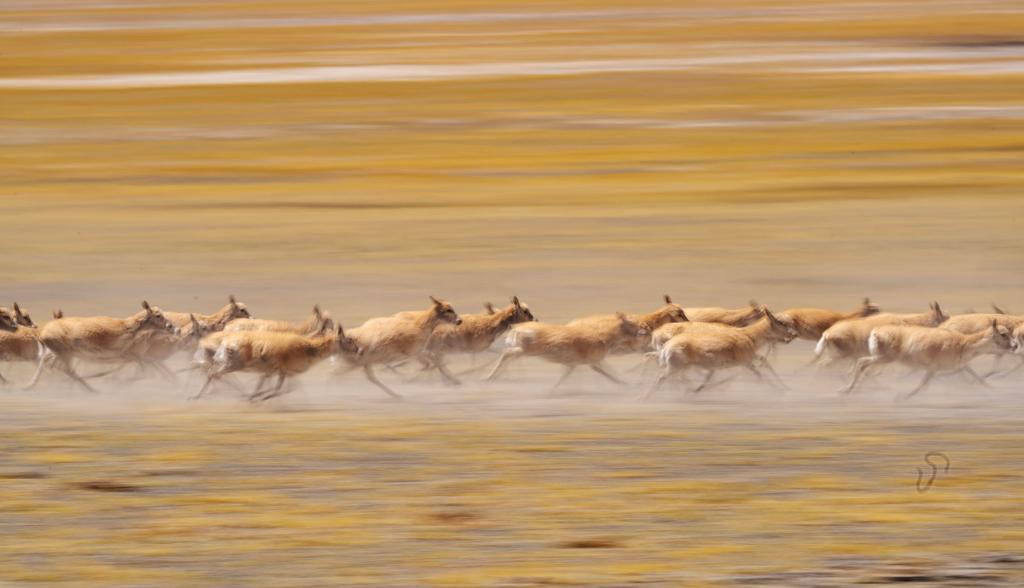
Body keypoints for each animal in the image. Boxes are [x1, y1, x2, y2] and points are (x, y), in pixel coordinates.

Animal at [24, 301, 176, 393]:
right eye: (158, 315)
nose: (172, 327)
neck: (127, 328)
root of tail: (42, 333)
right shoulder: (127, 355)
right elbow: (144, 371)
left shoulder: (132, 357)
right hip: (65, 354)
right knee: (66, 370)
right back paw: (93, 390)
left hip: (59, 353)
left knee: (49, 364)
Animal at [193, 325, 358, 403]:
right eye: (348, 340)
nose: (358, 349)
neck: (307, 347)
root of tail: (226, 342)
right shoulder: (281, 371)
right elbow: (279, 389)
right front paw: (261, 397)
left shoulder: (281, 372)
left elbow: (284, 388)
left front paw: (258, 396)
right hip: (233, 365)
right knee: (213, 373)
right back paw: (199, 396)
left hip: (227, 364)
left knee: (212, 372)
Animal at [647, 309, 798, 401]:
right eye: (780, 321)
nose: (793, 334)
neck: (748, 335)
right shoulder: (745, 362)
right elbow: (759, 374)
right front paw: (778, 390)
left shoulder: (748, 359)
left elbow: (764, 364)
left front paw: (785, 388)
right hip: (675, 367)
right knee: (664, 377)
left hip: (678, 366)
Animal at [839, 319, 1015, 399]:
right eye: (1003, 334)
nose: (1014, 346)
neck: (963, 343)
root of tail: (875, 331)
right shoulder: (933, 369)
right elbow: (923, 385)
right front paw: (904, 396)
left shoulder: (960, 366)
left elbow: (978, 377)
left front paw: (993, 389)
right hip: (883, 358)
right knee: (861, 363)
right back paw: (847, 389)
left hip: (880, 358)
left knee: (863, 366)